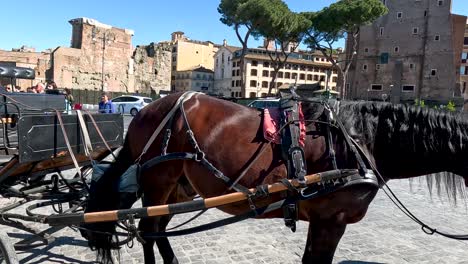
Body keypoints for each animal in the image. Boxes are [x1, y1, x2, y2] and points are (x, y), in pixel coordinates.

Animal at [82, 92, 468, 262]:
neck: (359, 139)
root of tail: (146, 109)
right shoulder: (331, 220)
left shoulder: (324, 221)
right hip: (159, 181)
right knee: (148, 232)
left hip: (178, 187)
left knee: (157, 230)